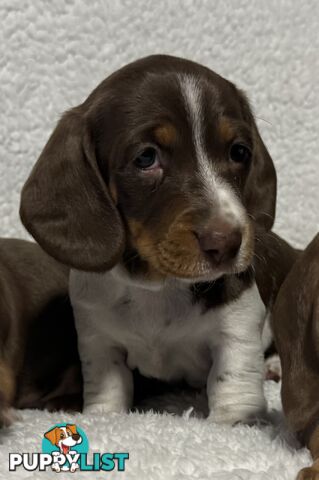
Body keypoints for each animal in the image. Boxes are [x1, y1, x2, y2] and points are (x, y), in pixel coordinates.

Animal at [20, 54, 280, 426]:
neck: (158, 287)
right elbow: (107, 387)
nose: (228, 243)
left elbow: (234, 381)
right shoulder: (97, 337)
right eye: (146, 157)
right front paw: (104, 417)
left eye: (239, 152)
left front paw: (234, 424)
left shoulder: (239, 323)